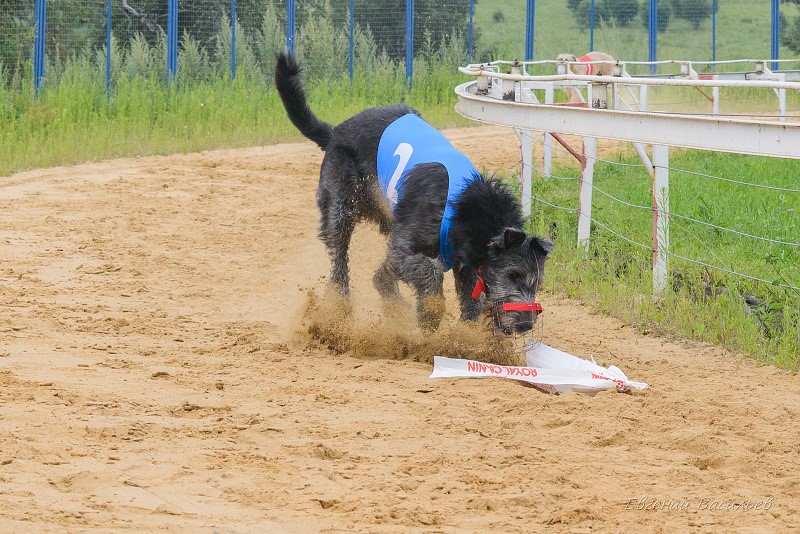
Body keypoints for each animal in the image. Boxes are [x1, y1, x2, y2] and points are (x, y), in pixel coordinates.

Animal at [276, 51, 552, 336]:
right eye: (512, 274)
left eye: (537, 283)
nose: (525, 325)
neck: (470, 207)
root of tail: (334, 133)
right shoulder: (409, 246)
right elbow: (428, 271)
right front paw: (430, 313)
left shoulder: (465, 262)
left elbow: (470, 300)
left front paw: (465, 335)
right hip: (341, 204)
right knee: (340, 255)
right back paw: (339, 304)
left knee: (380, 276)